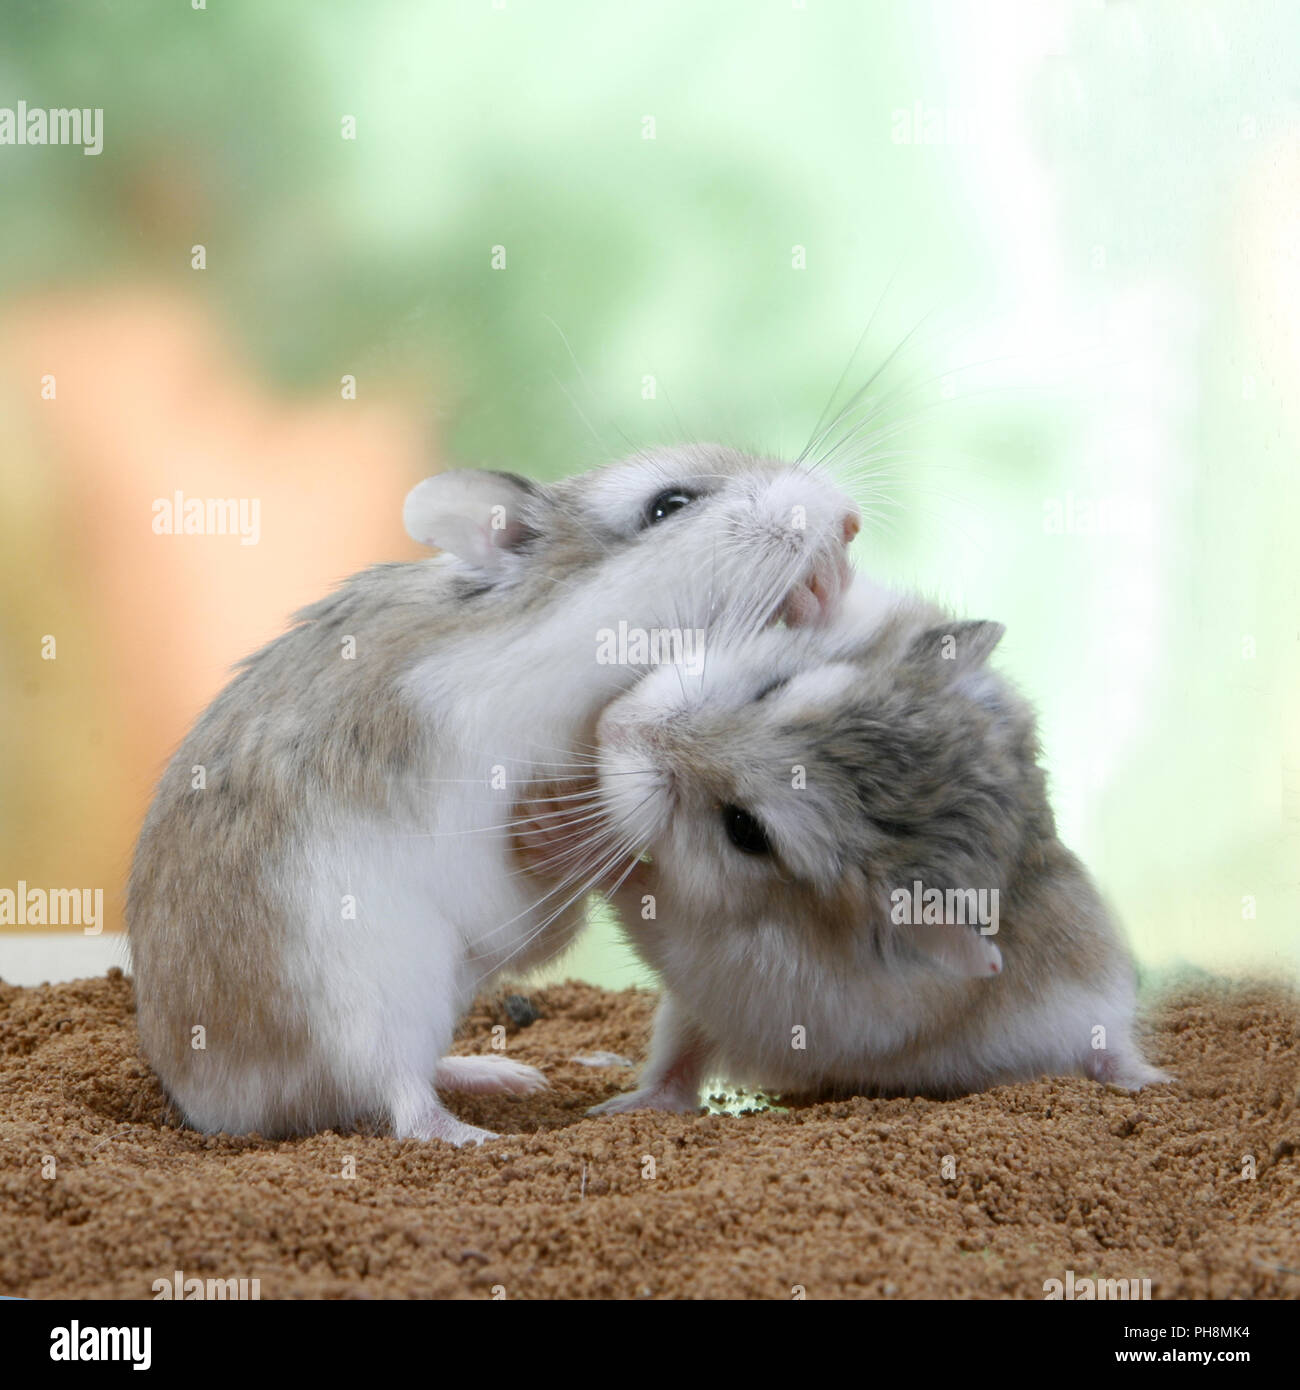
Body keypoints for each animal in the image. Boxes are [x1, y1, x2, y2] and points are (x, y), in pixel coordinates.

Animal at [127, 445, 861, 1144]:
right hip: (367, 993)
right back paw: (472, 1134)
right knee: (400, 1098)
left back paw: (505, 1074)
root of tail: (214, 1107)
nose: (851, 519)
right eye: (669, 505)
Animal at [586, 575, 1167, 1113]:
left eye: (745, 829)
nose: (610, 728)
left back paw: (1147, 1080)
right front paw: (812, 597)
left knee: (1107, 1046)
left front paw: (597, 858)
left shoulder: (716, 957)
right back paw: (621, 1105)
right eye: (774, 686)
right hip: (683, 1017)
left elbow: (647, 905)